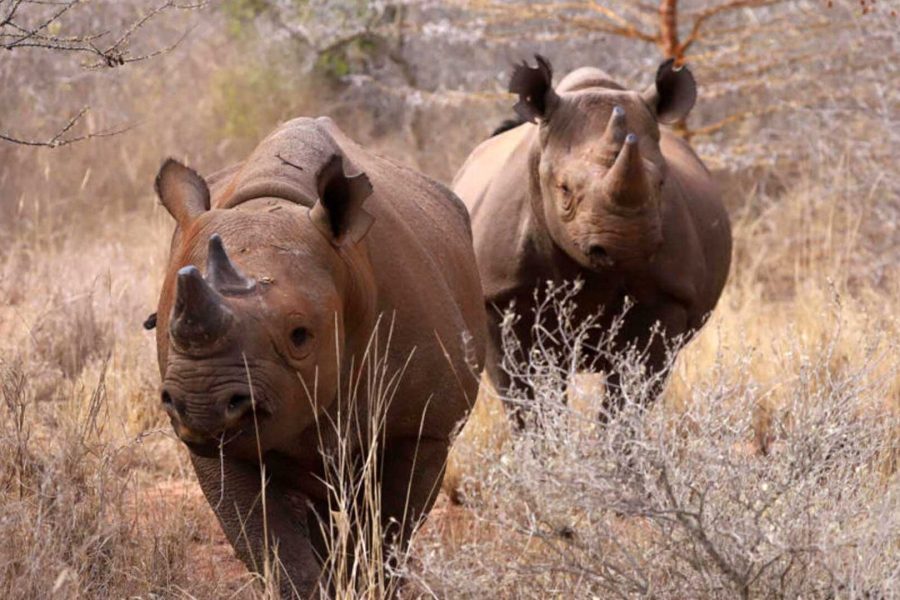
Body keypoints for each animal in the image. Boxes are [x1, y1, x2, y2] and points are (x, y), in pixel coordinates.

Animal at [151, 117, 486, 596]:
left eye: (299, 336)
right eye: (169, 327)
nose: (201, 404)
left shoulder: (424, 430)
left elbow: (386, 532)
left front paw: (367, 588)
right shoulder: (223, 449)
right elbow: (271, 547)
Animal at [453, 56, 731, 420]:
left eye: (660, 184)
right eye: (564, 190)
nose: (626, 244)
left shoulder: (669, 296)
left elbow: (630, 395)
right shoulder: (499, 298)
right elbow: (525, 395)